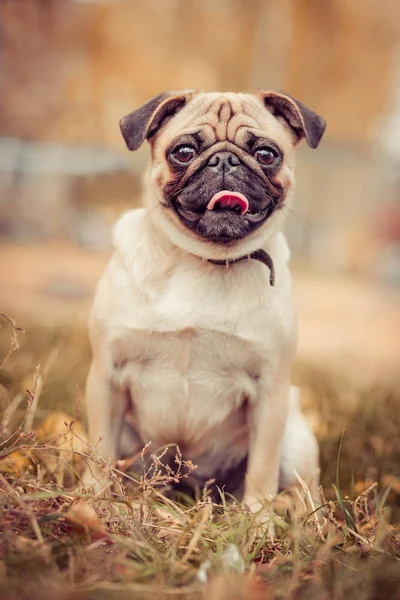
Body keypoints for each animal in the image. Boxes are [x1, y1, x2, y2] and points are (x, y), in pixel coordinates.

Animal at [84, 88, 324, 516]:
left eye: (267, 154)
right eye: (183, 151)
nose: (225, 160)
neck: (202, 261)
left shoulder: (270, 392)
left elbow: (261, 469)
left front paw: (257, 521)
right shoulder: (107, 376)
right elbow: (100, 452)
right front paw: (93, 501)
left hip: (296, 441)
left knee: (305, 493)